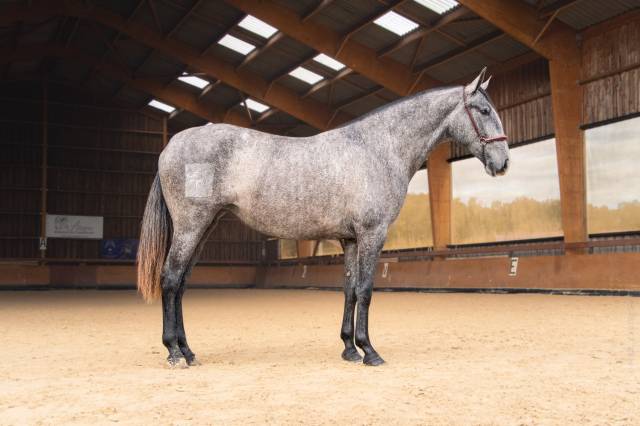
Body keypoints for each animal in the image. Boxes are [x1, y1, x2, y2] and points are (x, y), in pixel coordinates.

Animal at [137, 67, 509, 368]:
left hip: (204, 227)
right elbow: (366, 290)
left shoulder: (350, 239)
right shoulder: (373, 233)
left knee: (181, 284)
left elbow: (349, 290)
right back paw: (174, 352)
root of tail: (171, 145)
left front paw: (349, 349)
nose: (503, 162)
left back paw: (188, 351)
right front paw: (369, 351)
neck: (377, 148)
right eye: (484, 110)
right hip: (191, 226)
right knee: (170, 279)